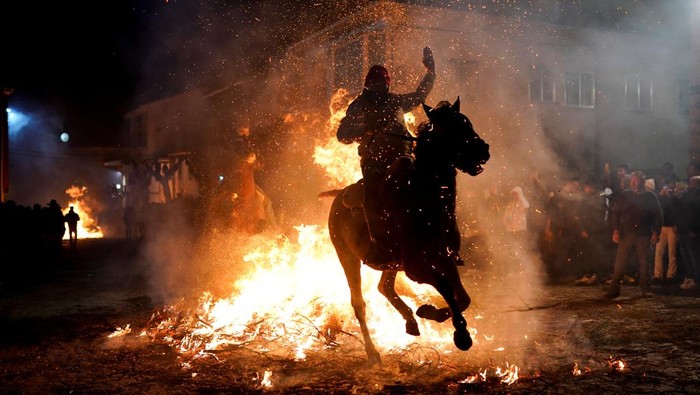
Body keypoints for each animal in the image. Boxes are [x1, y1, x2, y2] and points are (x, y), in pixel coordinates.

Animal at [326, 98, 490, 366]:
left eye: (466, 121)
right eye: (449, 129)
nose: (483, 150)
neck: (425, 202)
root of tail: (338, 196)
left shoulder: (445, 259)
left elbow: (462, 297)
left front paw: (431, 312)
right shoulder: (418, 268)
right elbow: (446, 289)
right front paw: (461, 333)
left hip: (391, 264)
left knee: (384, 287)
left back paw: (410, 320)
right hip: (347, 257)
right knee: (359, 304)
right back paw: (373, 352)